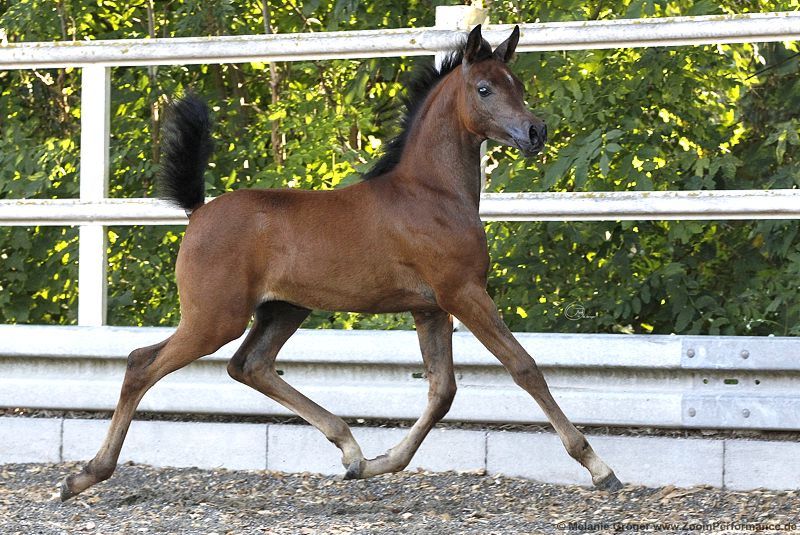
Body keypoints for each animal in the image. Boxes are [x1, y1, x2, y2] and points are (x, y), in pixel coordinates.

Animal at [61, 25, 624, 502]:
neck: (432, 193)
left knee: (250, 365)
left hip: (284, 309)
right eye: (485, 88)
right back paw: (83, 475)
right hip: (215, 317)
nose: (535, 132)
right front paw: (599, 468)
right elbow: (524, 367)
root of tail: (197, 212)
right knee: (142, 364)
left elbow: (442, 392)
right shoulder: (463, 293)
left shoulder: (429, 308)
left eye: (518, 83)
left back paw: (351, 451)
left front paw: (380, 463)